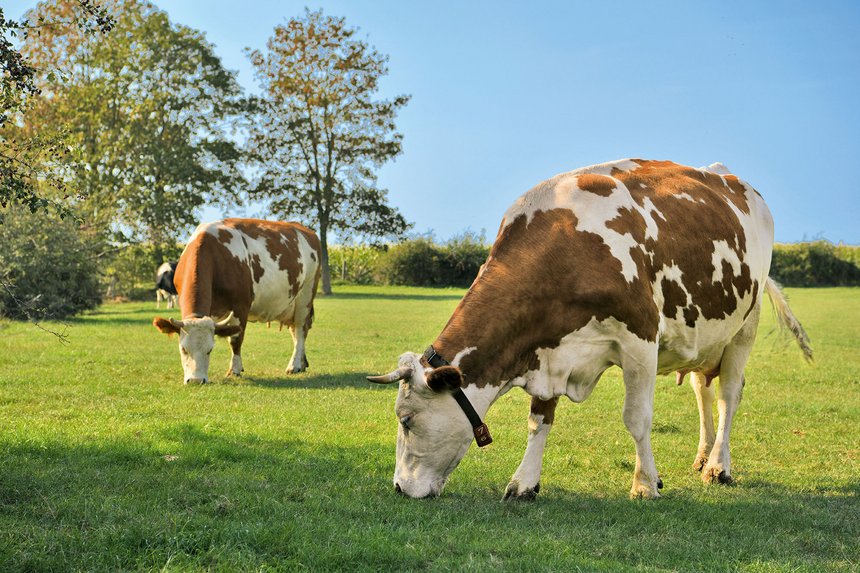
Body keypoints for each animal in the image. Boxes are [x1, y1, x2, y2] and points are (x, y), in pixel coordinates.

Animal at [153, 219, 320, 384]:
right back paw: (302, 363)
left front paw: (235, 370)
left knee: (300, 330)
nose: (196, 380)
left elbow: (235, 339)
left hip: (306, 295)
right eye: (183, 349)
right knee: (295, 331)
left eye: (210, 350)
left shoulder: (241, 307)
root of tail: (302, 228)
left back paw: (294, 365)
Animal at [370, 159, 812, 498]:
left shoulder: (640, 340)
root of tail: (731, 178)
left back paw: (719, 466)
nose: (399, 487)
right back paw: (703, 457)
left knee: (727, 396)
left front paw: (645, 484)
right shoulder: (546, 348)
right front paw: (524, 484)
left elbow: (637, 418)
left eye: (406, 419)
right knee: (703, 390)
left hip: (744, 327)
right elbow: (539, 420)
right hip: (706, 335)